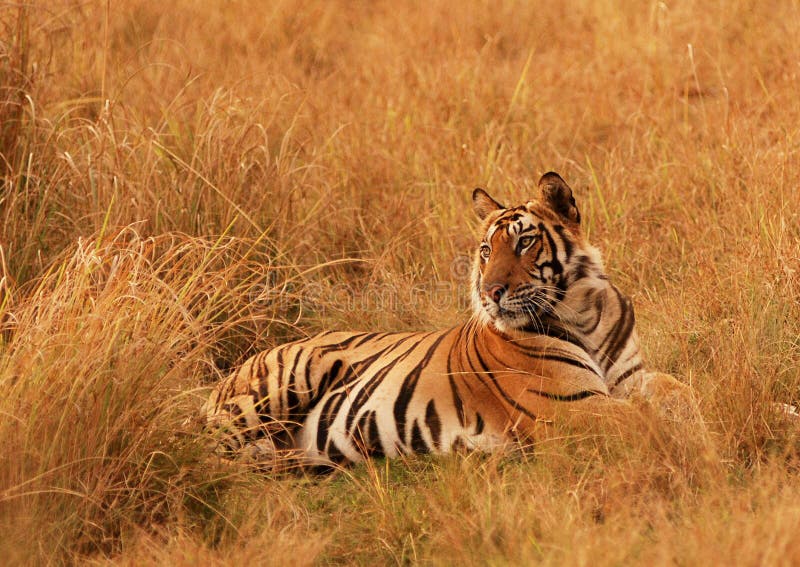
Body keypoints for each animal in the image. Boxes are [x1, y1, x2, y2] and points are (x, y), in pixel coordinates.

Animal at [202, 172, 698, 468]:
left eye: (524, 243)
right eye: (487, 250)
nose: (491, 292)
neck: (584, 313)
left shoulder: (631, 376)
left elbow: (678, 390)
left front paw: (694, 416)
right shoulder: (571, 407)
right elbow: (643, 422)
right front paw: (682, 441)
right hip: (285, 379)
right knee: (211, 451)